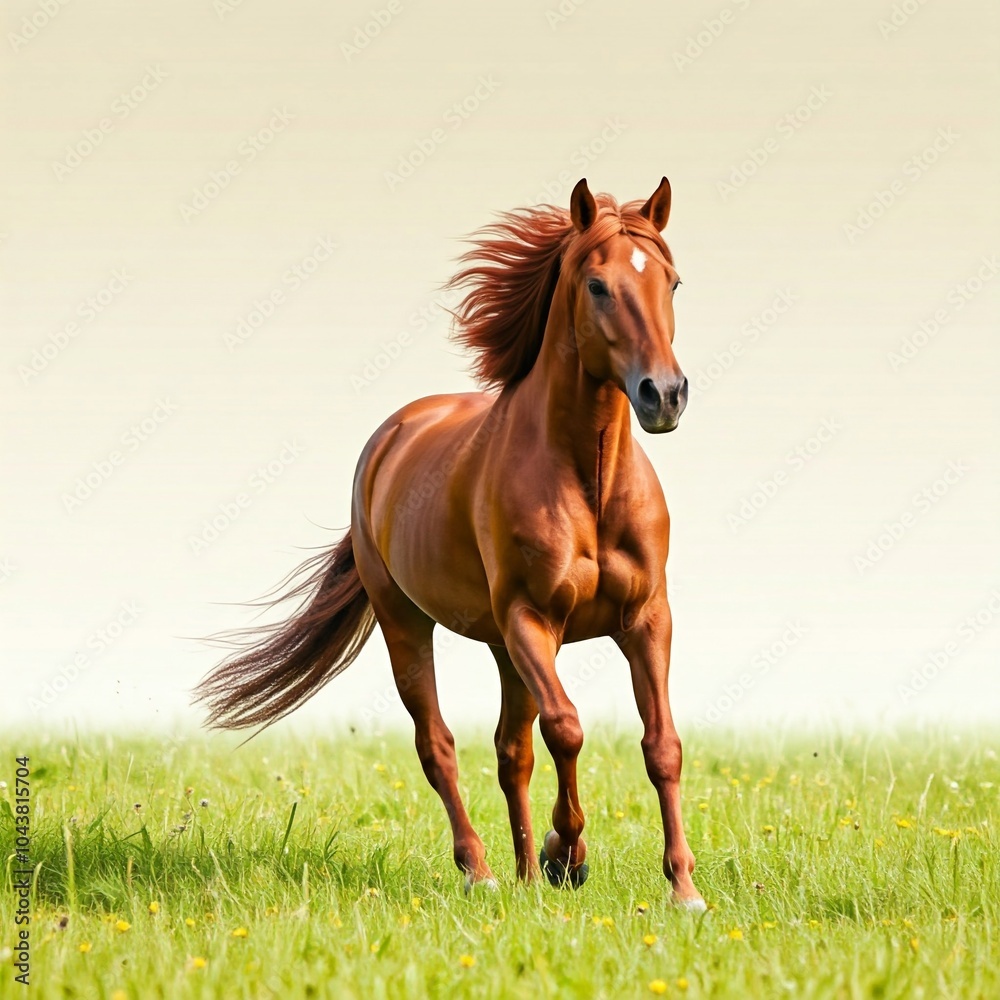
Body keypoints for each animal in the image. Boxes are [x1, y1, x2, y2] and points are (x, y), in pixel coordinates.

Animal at [194, 177, 705, 910]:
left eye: (673, 281)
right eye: (598, 285)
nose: (663, 394)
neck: (589, 480)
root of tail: (391, 437)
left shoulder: (645, 620)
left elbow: (660, 745)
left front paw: (683, 888)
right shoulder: (531, 620)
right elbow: (568, 728)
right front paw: (568, 854)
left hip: (503, 647)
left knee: (511, 751)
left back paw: (525, 875)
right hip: (410, 624)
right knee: (439, 745)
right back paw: (485, 871)